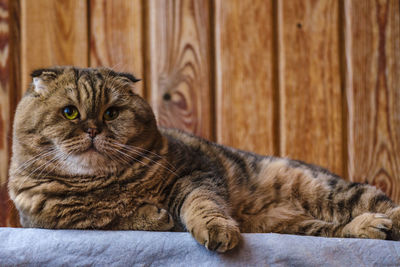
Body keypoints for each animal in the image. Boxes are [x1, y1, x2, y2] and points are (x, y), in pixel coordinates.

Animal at [8, 66, 400, 253]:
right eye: (70, 112)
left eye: (112, 112)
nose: (92, 129)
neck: (103, 182)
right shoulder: (50, 222)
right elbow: (110, 220)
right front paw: (152, 215)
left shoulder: (196, 172)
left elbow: (201, 205)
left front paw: (215, 229)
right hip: (295, 225)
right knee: (338, 229)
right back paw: (370, 227)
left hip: (323, 188)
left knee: (377, 202)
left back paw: (386, 221)